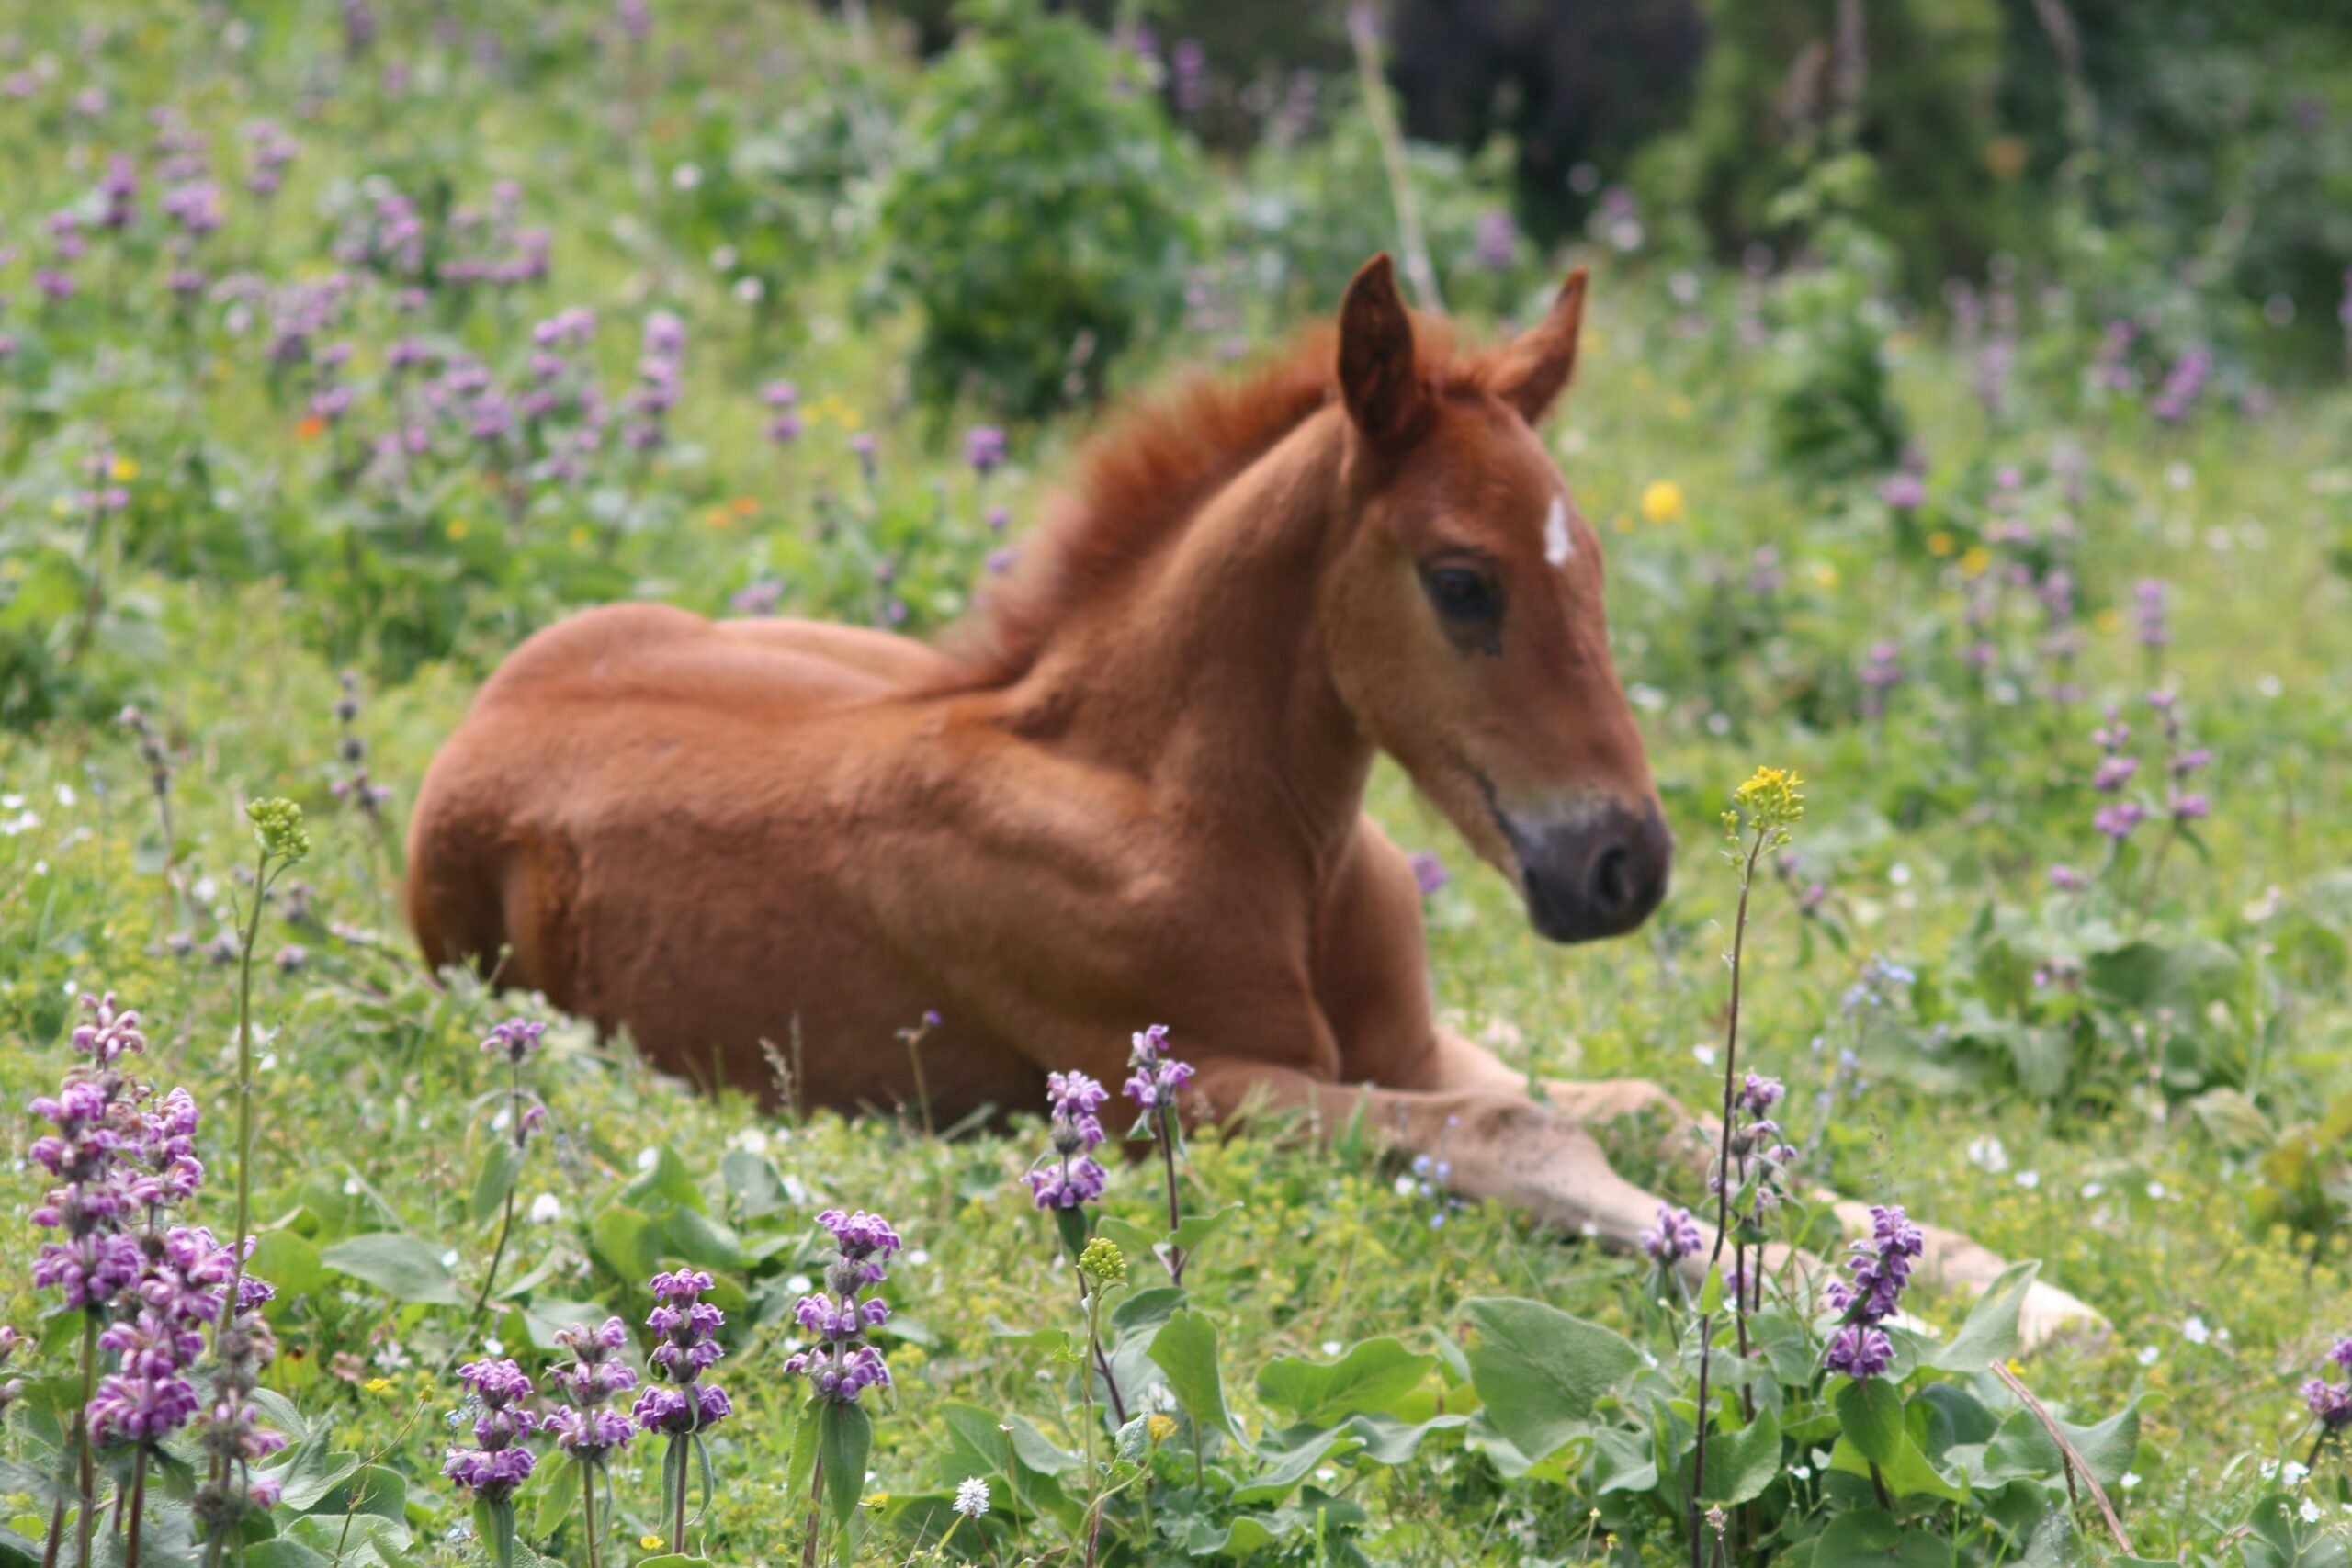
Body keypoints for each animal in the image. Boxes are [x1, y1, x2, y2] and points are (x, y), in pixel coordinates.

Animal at [404, 254, 2098, 1354]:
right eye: (1465, 581)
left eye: (1598, 567)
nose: (1628, 863)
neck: (1229, 822)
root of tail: (492, 696)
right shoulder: (1190, 1083)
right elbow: (1531, 1133)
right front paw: (1825, 1296)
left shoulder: (1406, 1039)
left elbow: (1646, 1105)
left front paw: (2009, 1281)